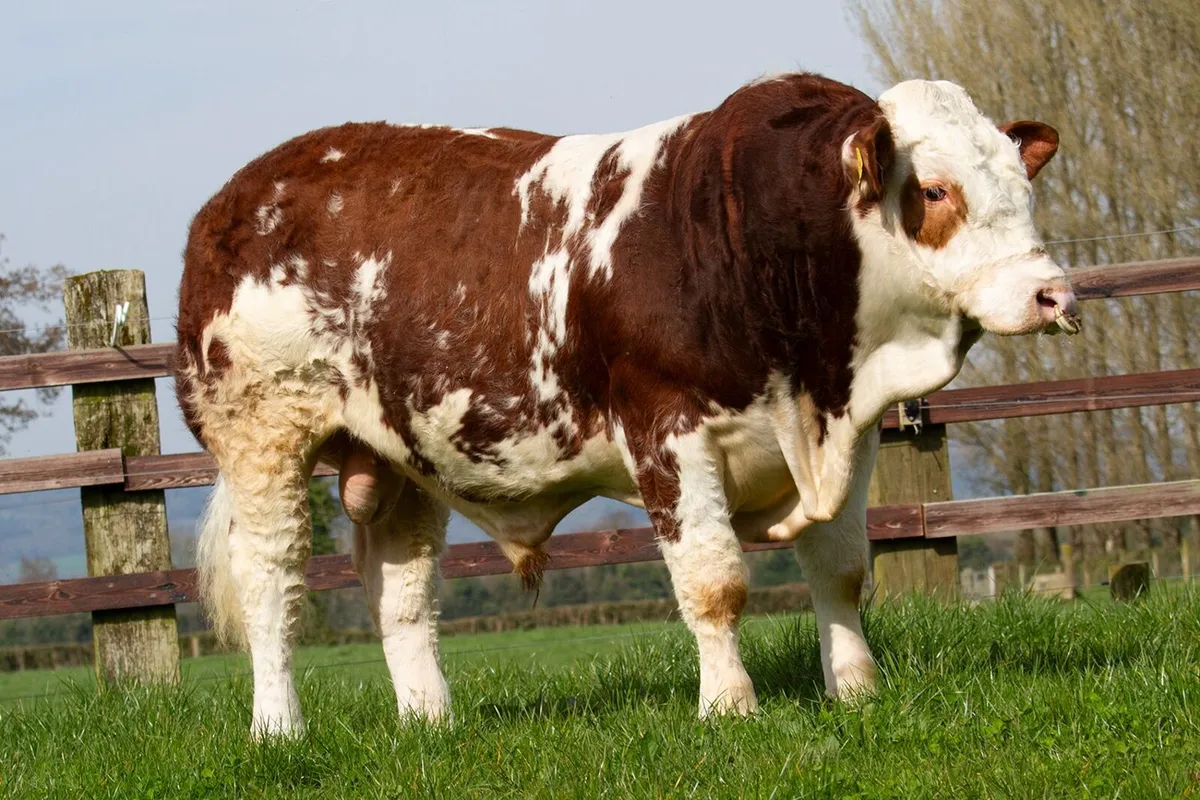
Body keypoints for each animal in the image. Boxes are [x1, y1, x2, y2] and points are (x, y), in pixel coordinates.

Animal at [175, 72, 1079, 737]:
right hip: (264, 435)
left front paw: (855, 689)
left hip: (397, 455)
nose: (1052, 293)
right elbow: (715, 583)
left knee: (399, 592)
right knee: (272, 583)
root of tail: (237, 196)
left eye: (1022, 184)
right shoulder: (666, 430)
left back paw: (431, 722)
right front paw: (729, 706)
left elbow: (842, 570)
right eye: (935, 190)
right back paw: (278, 728)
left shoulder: (845, 437)